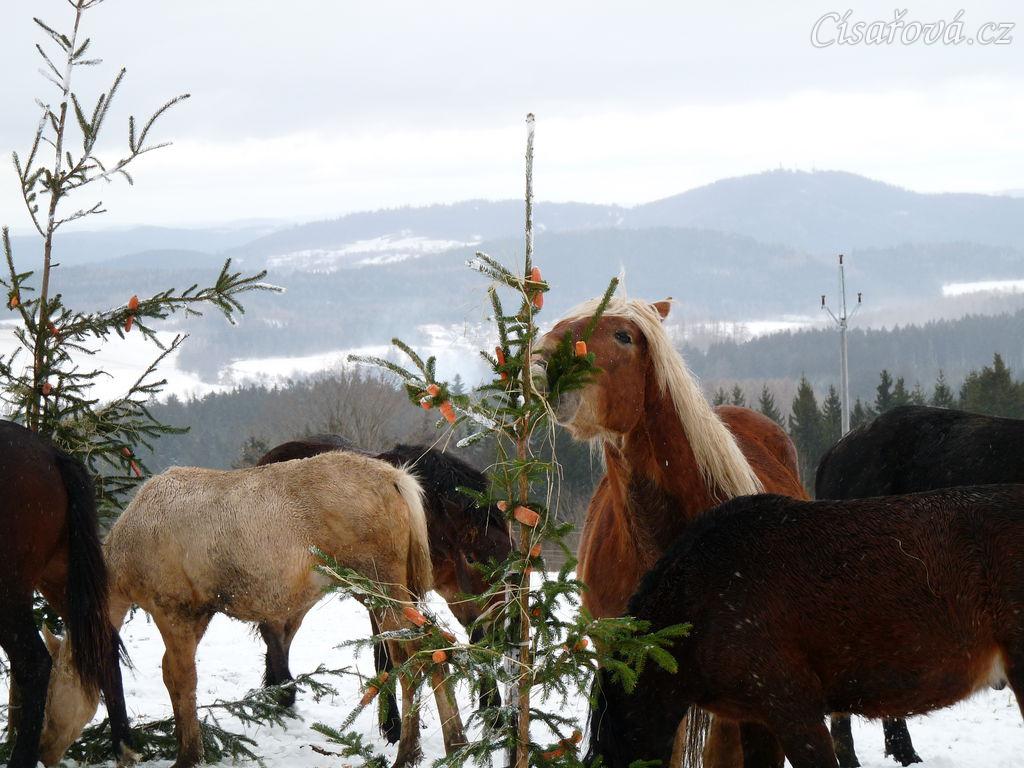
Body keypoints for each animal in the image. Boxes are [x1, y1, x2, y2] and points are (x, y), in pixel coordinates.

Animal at [0, 419, 131, 768]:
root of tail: (51, 453)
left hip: (10, 591)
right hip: (62, 576)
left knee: (34, 665)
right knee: (105, 643)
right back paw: (125, 746)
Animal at [39, 451, 465, 768]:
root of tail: (399, 480)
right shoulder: (201, 612)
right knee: (435, 647)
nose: (43, 750)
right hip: (392, 589)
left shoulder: (172, 607)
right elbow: (176, 678)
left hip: (378, 584)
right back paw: (455, 742)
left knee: (413, 656)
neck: (124, 569)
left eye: (49, 694)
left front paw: (188, 754)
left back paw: (408, 753)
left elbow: (179, 678)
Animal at [257, 439, 511, 740]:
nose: (502, 621)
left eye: (510, 555)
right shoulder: (382, 595)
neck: (425, 514)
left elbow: (477, 643)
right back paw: (280, 695)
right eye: (471, 558)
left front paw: (493, 712)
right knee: (275, 633)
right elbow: (386, 657)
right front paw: (392, 726)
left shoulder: (456, 598)